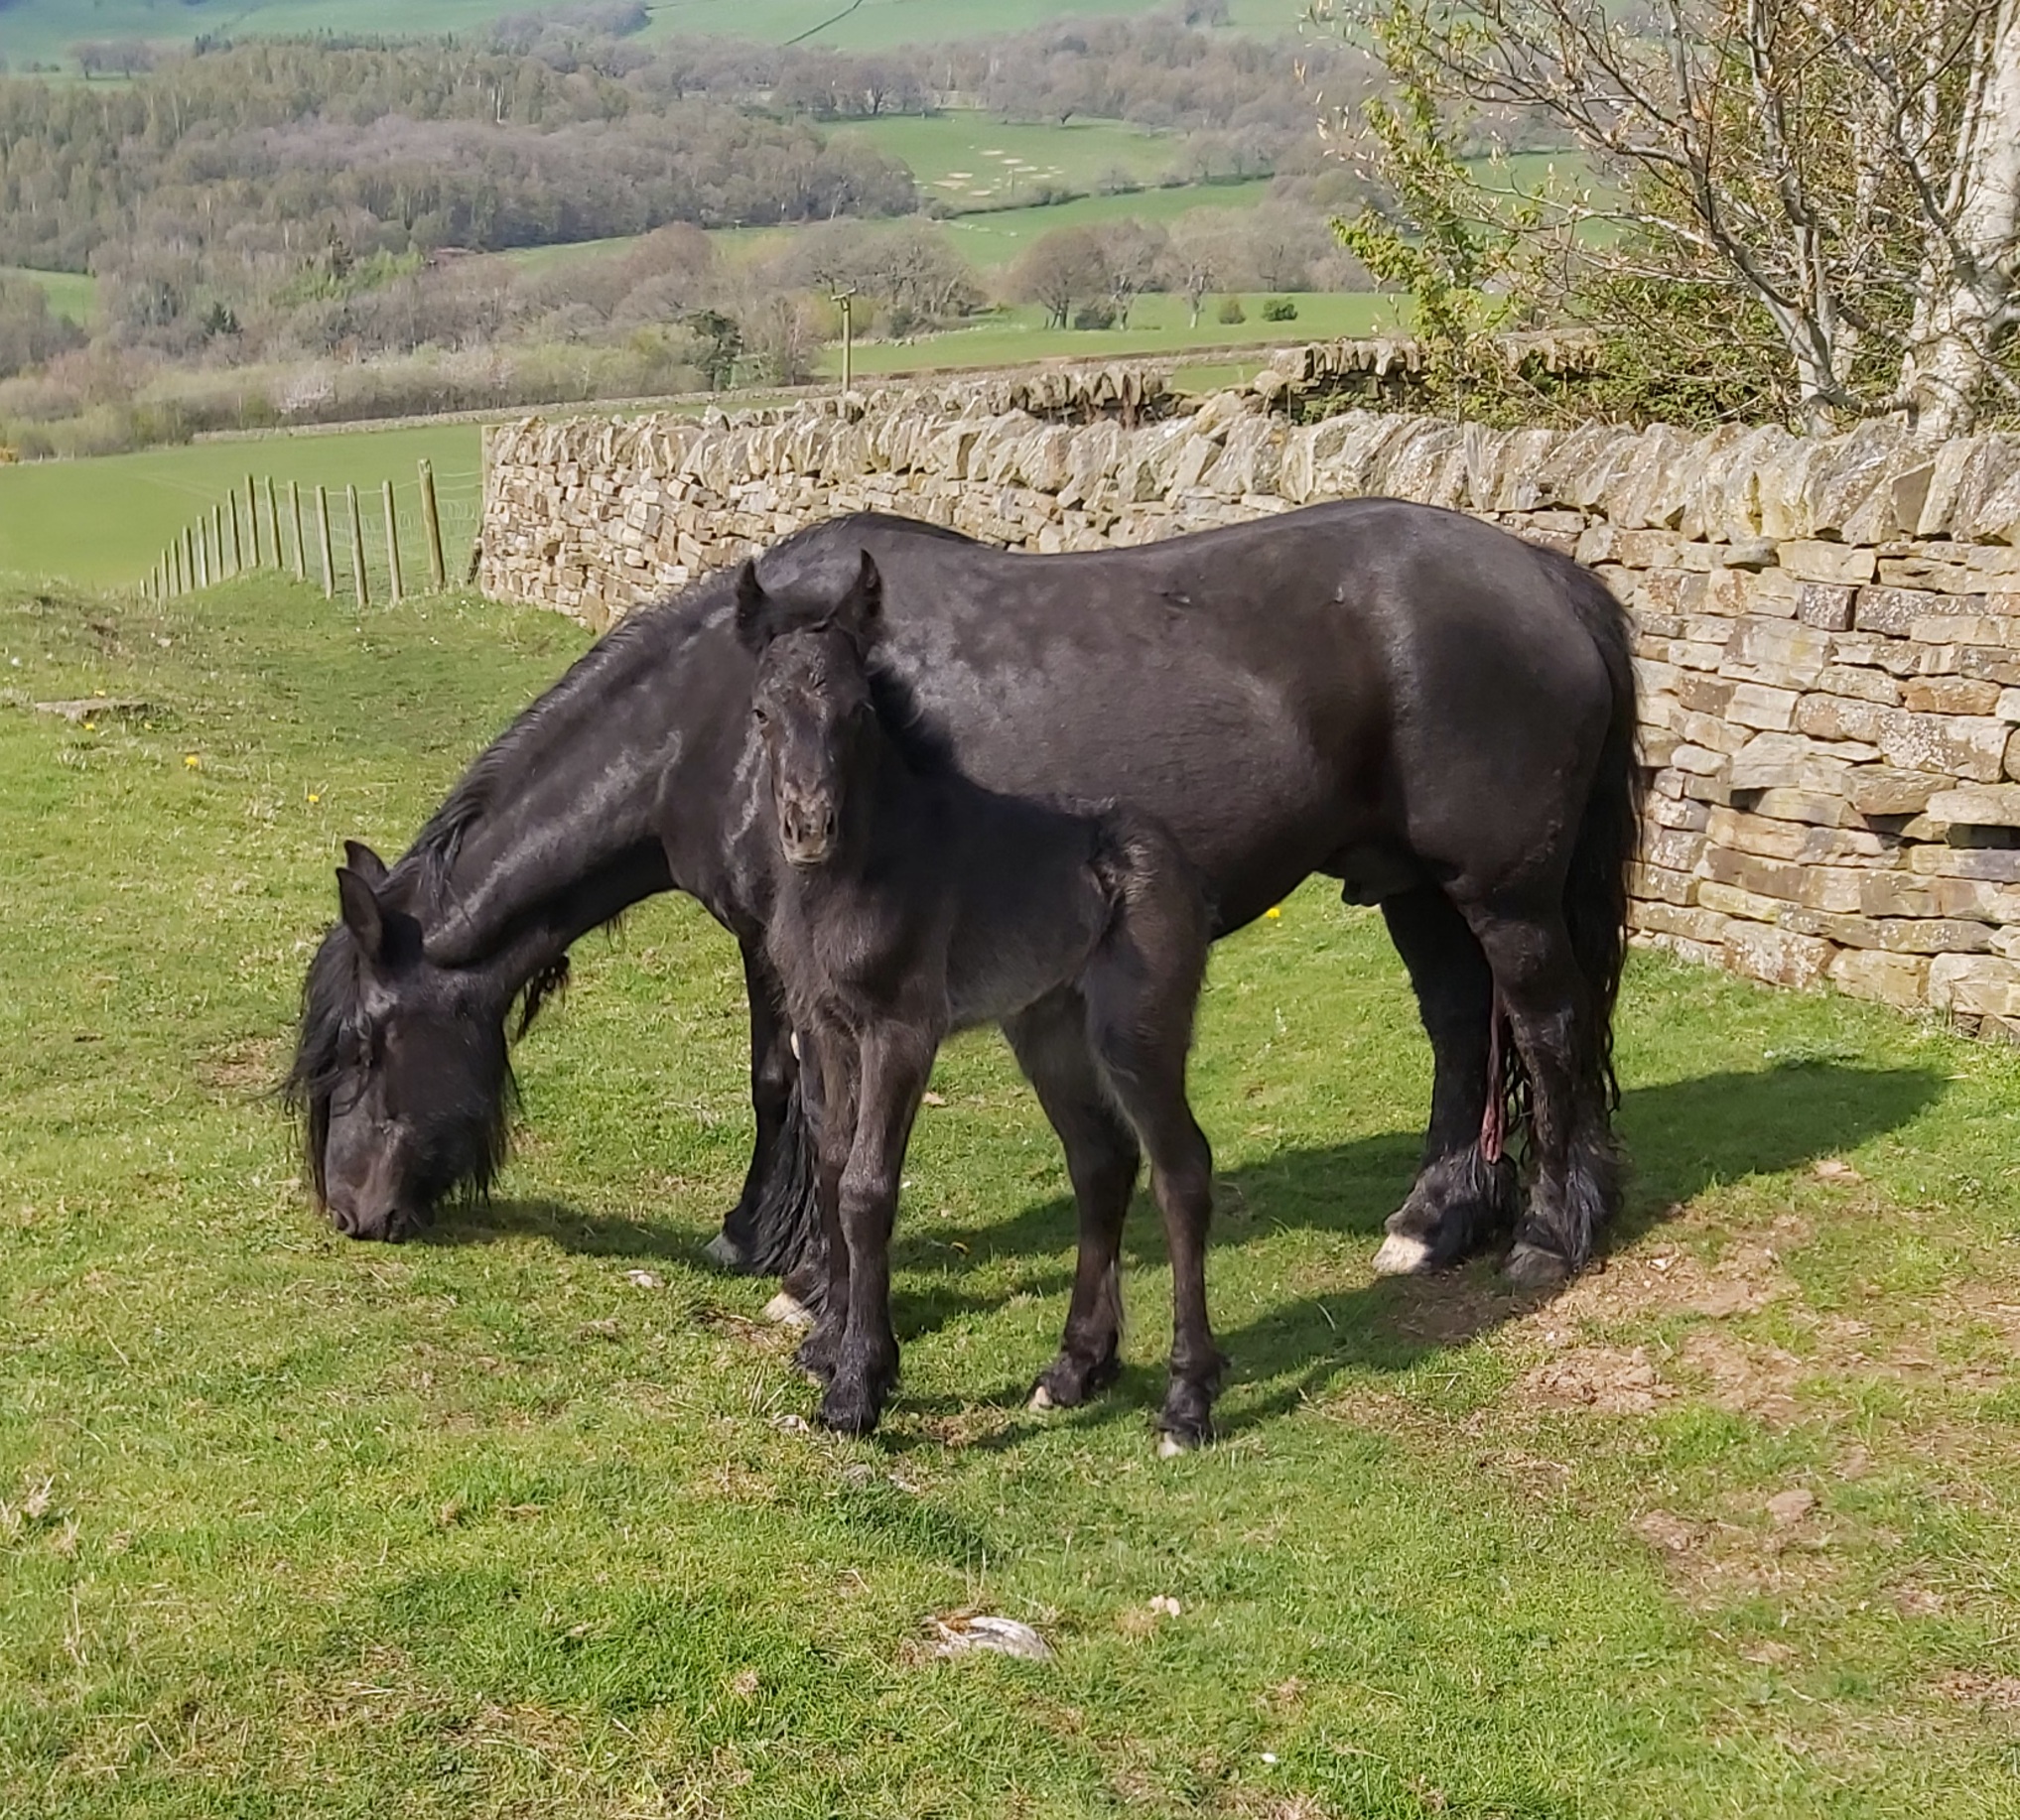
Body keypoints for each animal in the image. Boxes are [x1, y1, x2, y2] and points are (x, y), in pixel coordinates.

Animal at [289, 496, 1640, 1292]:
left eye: (361, 1050)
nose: (350, 1211)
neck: (716, 723)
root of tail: (1544, 572)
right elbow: (779, 1086)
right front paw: (758, 1238)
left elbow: (808, 1101)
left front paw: (808, 1276)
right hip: (1414, 886)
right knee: (1464, 1027)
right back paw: (1434, 1220)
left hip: (1503, 891)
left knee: (1549, 1027)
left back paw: (1547, 1236)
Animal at [739, 549, 1220, 1446]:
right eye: (761, 711)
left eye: (856, 711)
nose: (808, 827)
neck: (853, 875)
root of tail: (1167, 848)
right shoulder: (824, 1024)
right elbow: (830, 1161)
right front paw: (829, 1345)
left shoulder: (901, 1027)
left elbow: (866, 1185)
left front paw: (859, 1384)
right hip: (1047, 1028)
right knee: (1102, 1161)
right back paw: (1072, 1369)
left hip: (1135, 1030)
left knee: (1181, 1171)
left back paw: (1187, 1401)